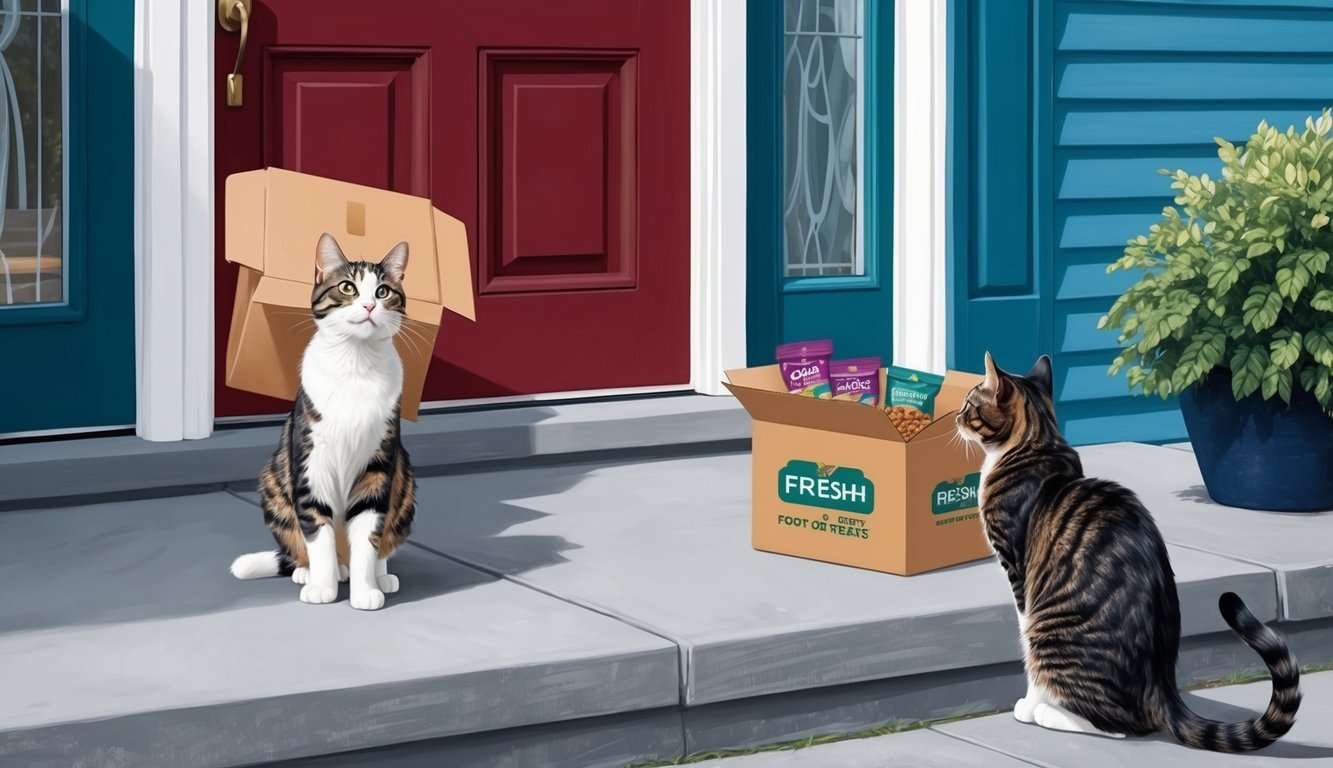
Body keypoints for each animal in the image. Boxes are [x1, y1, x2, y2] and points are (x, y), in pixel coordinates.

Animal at [229, 230, 415, 608]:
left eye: (383, 291)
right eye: (347, 287)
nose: (369, 306)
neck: (356, 363)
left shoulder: (379, 464)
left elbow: (369, 531)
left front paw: (365, 591)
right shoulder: (311, 460)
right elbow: (317, 530)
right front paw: (322, 588)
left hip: (404, 479)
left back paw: (381, 575)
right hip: (274, 479)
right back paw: (309, 571)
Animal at [959, 352, 1301, 752]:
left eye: (968, 404)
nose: (955, 417)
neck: (1036, 443)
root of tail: (1161, 690)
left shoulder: (1019, 575)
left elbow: (1025, 649)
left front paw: (1031, 704)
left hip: (1049, 631)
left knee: (1120, 725)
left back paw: (1050, 714)